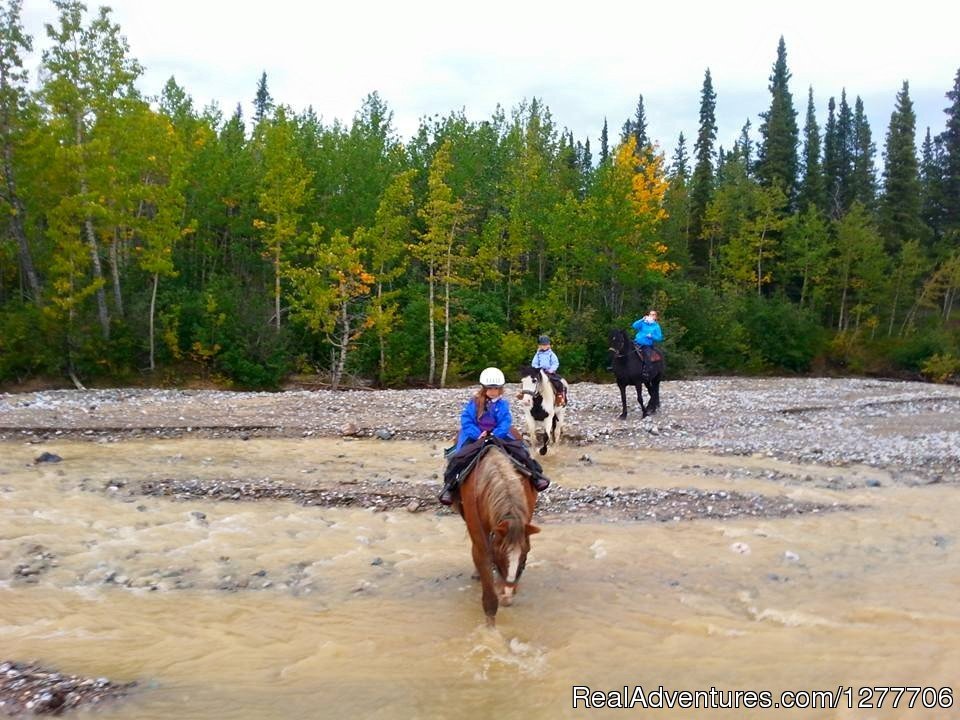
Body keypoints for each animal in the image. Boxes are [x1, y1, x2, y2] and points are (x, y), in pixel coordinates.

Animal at [456, 444, 540, 624]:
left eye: (526, 553)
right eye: (499, 554)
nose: (507, 595)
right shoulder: (481, 541)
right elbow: (489, 598)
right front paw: (490, 630)